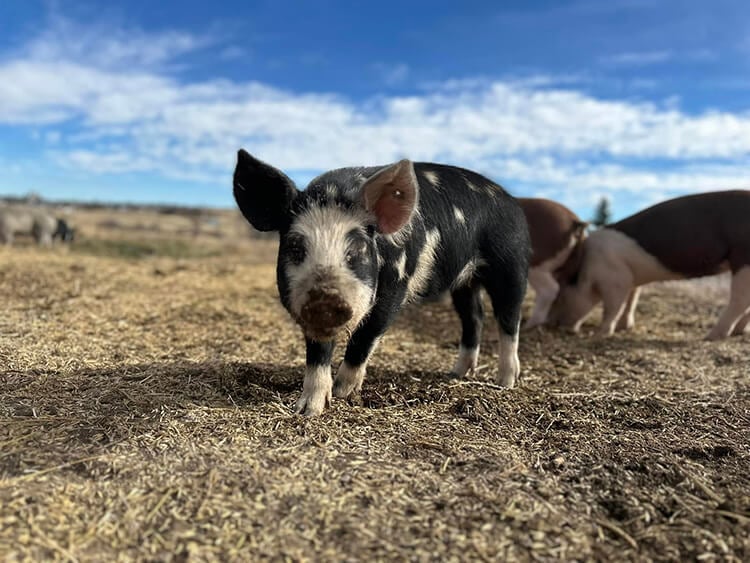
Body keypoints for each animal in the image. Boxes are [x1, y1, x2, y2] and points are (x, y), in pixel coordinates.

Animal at [233, 149, 531, 416]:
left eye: (359, 249)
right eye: (295, 247)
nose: (325, 297)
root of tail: (513, 202)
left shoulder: (396, 286)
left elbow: (365, 336)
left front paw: (343, 393)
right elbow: (318, 352)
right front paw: (308, 411)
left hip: (511, 265)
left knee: (509, 319)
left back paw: (504, 383)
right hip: (464, 282)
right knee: (474, 318)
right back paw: (455, 374)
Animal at [548, 190, 750, 340]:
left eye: (560, 297)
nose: (552, 325)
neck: (587, 270)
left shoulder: (616, 278)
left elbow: (613, 306)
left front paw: (599, 334)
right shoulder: (631, 278)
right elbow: (632, 299)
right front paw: (624, 327)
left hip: (743, 258)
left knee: (740, 301)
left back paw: (711, 336)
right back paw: (738, 332)